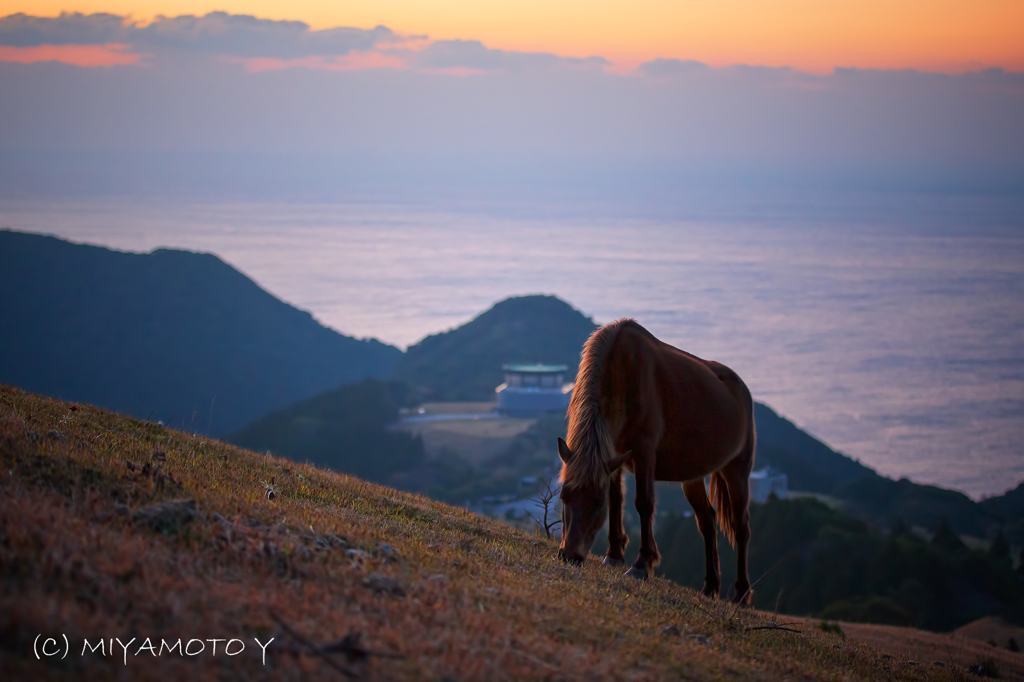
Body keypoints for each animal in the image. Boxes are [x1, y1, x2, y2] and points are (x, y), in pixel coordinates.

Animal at [557, 317, 757, 602]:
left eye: (597, 504)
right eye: (564, 498)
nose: (570, 556)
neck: (624, 373)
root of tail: (742, 389)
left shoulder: (644, 453)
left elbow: (643, 503)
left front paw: (642, 564)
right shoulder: (613, 454)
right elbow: (617, 500)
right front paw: (614, 555)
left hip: (737, 469)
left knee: (741, 527)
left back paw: (741, 593)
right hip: (693, 475)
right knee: (707, 522)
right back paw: (710, 586)